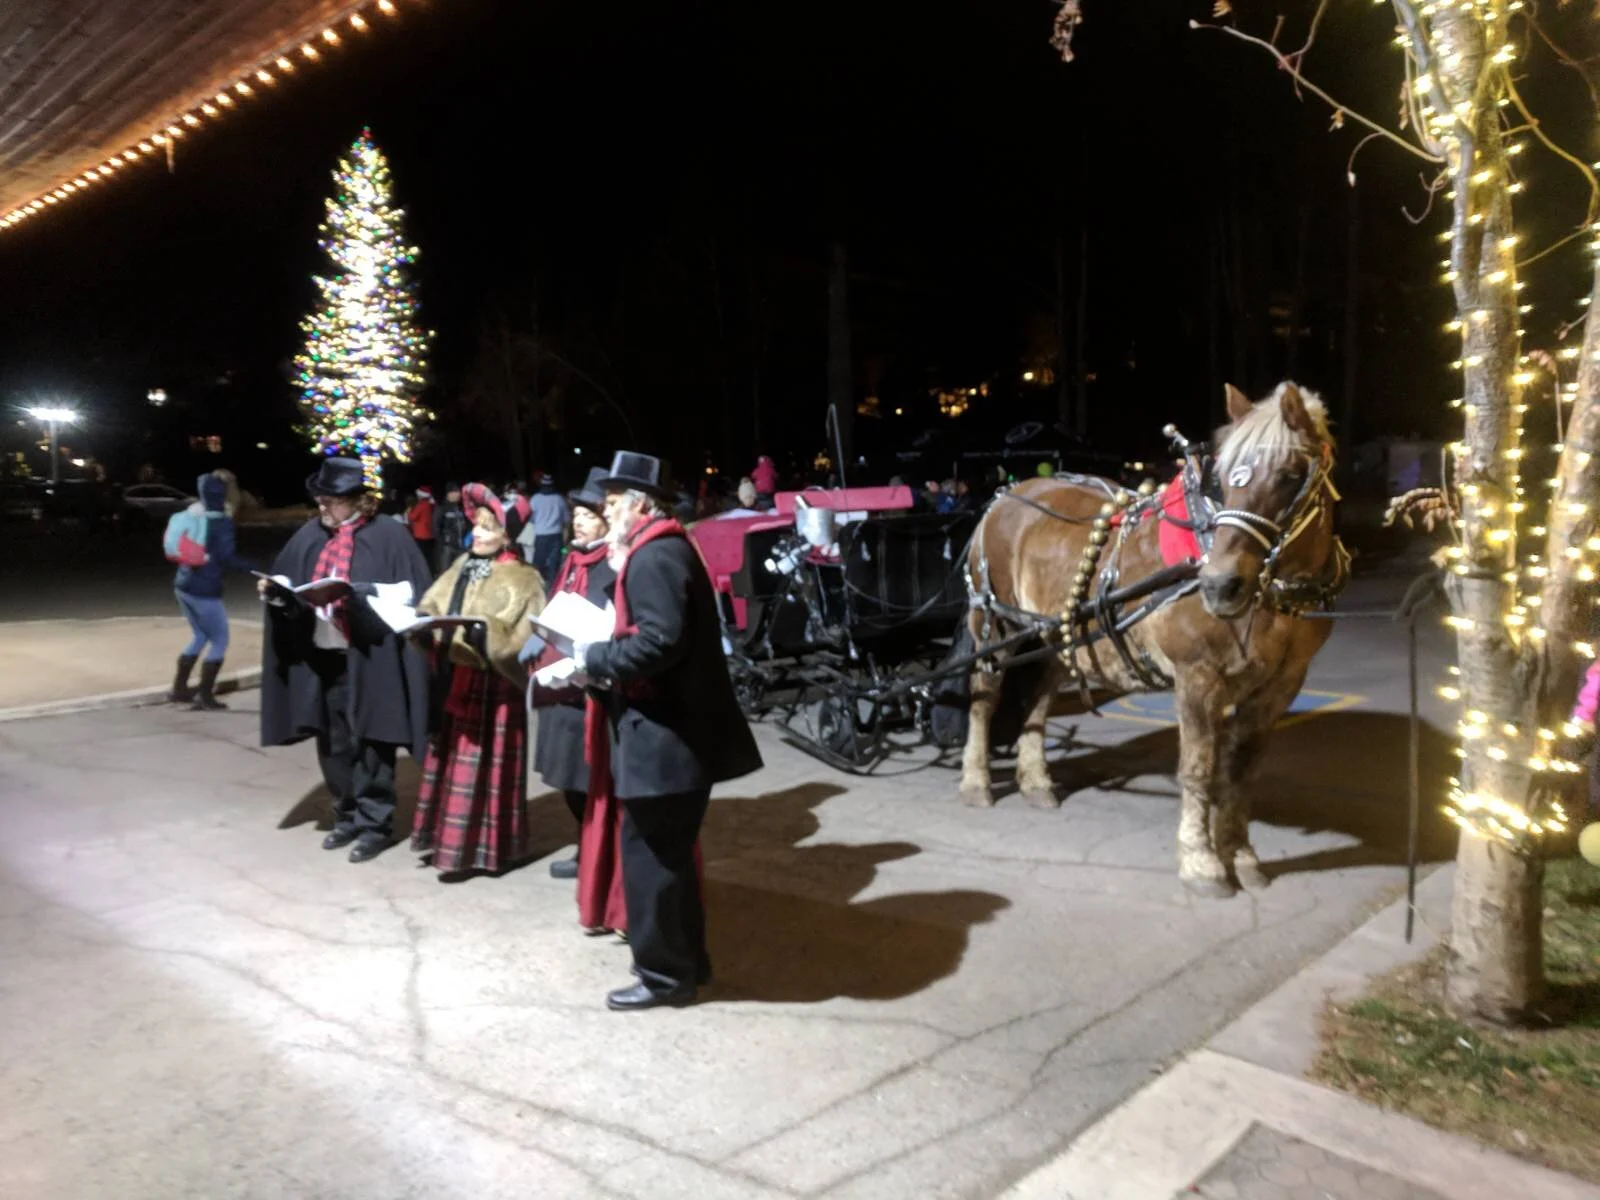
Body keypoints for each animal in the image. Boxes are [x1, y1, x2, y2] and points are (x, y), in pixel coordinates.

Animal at [958, 381, 1348, 897]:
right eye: (1225, 480)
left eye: (1287, 476)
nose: (1220, 585)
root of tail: (1005, 495)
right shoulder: (1198, 676)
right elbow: (1198, 768)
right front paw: (1202, 862)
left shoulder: (1282, 685)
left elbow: (1241, 770)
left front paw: (1241, 854)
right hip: (995, 623)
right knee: (985, 696)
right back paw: (975, 781)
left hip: (1060, 630)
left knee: (1040, 696)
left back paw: (1036, 780)